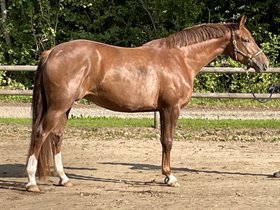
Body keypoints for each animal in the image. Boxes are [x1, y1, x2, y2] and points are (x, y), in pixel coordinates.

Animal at [25, 16, 270, 192]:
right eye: (246, 40)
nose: (264, 64)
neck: (180, 58)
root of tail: (51, 52)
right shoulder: (171, 109)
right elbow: (169, 141)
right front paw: (170, 177)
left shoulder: (162, 110)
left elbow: (163, 141)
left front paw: (166, 176)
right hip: (58, 107)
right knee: (40, 134)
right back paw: (31, 182)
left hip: (64, 107)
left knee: (56, 137)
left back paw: (64, 178)